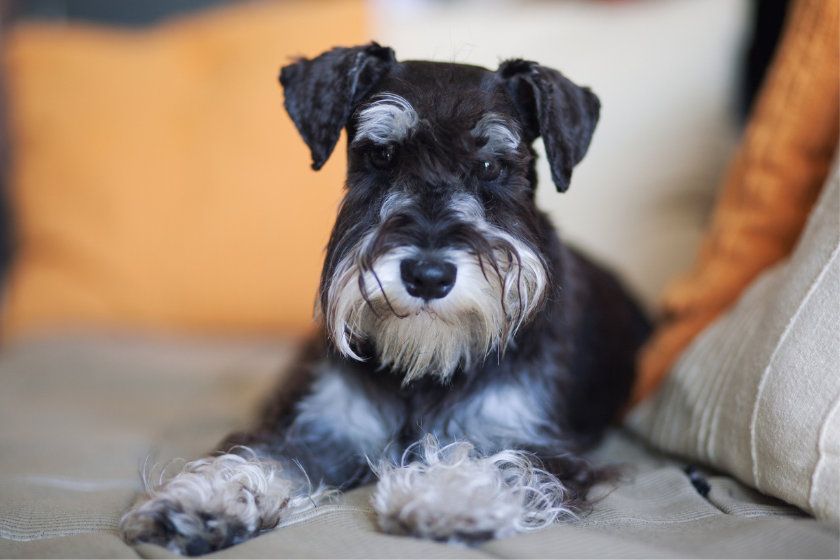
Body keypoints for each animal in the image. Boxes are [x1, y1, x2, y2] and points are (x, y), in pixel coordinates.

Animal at [116, 43, 648, 556]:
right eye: (382, 156)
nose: (428, 275)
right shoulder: (321, 427)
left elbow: (504, 463)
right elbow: (260, 454)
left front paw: (444, 494)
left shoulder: (535, 440)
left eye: (492, 166)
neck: (423, 367)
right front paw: (202, 501)